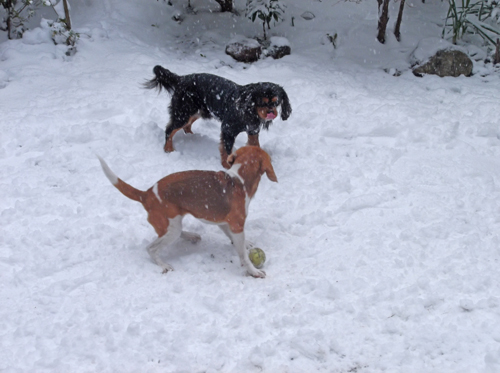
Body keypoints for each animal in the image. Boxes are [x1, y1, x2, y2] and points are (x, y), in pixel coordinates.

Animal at [97, 145, 278, 276]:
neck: (239, 178)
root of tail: (146, 193)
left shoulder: (225, 223)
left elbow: (235, 240)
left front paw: (246, 244)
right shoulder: (237, 224)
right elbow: (244, 256)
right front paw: (253, 271)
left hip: (173, 225)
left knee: (175, 234)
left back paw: (192, 236)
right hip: (171, 229)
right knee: (151, 248)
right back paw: (163, 264)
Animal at [145, 65, 292, 167]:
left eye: (276, 102)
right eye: (262, 102)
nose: (271, 112)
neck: (249, 110)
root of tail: (182, 79)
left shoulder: (253, 130)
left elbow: (255, 144)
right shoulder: (228, 129)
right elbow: (227, 150)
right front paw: (227, 165)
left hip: (197, 112)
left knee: (186, 125)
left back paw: (193, 137)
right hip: (183, 113)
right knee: (170, 129)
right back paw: (168, 149)